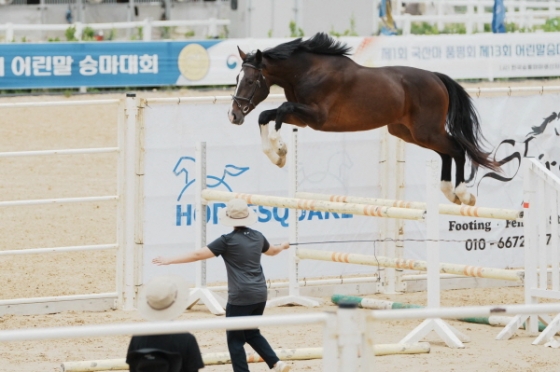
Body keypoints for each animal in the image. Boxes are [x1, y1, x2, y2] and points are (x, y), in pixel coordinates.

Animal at [228, 33, 498, 205]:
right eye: (236, 78)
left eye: (250, 81)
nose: (233, 115)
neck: (305, 72)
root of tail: (436, 77)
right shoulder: (303, 118)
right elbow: (266, 115)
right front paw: (277, 156)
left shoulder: (316, 116)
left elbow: (280, 110)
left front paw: (280, 148)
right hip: (408, 133)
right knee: (446, 152)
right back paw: (449, 192)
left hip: (426, 131)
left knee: (457, 149)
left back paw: (463, 195)